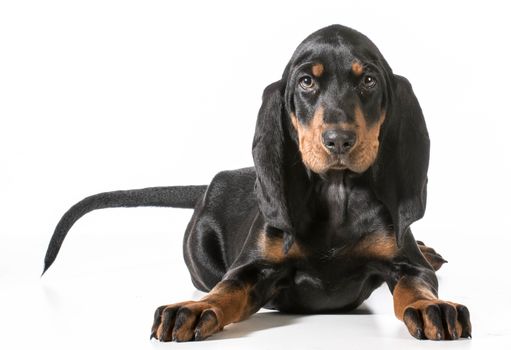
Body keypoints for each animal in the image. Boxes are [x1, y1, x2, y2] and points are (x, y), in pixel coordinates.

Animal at [43, 24, 472, 342]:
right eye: (305, 82)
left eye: (368, 80)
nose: (338, 140)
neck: (337, 193)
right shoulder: (253, 268)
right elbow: (227, 290)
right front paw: (193, 309)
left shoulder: (406, 264)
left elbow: (416, 285)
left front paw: (431, 307)